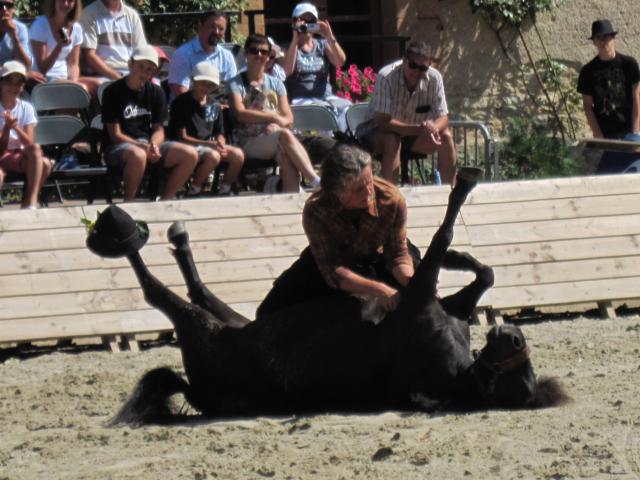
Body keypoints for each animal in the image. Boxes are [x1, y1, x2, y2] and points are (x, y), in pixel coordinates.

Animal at [86, 169, 568, 424]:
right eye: (521, 368)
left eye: (515, 379)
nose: (513, 337)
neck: (458, 371)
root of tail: (198, 392)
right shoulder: (445, 305)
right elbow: (478, 270)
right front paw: (462, 255)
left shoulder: (417, 301)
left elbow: (441, 236)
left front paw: (463, 187)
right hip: (237, 320)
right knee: (198, 289)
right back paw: (173, 236)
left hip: (204, 330)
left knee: (159, 293)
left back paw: (123, 234)